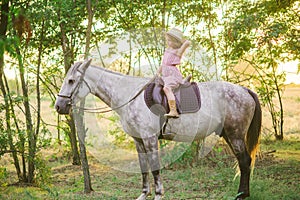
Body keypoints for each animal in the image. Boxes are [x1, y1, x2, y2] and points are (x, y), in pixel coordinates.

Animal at [55, 59, 260, 200]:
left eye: (71, 81)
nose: (59, 106)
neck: (129, 96)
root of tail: (244, 90)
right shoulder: (138, 140)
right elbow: (144, 168)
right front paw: (144, 194)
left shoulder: (150, 138)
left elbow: (154, 168)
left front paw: (159, 194)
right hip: (228, 134)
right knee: (243, 161)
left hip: (235, 135)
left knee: (244, 161)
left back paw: (242, 194)